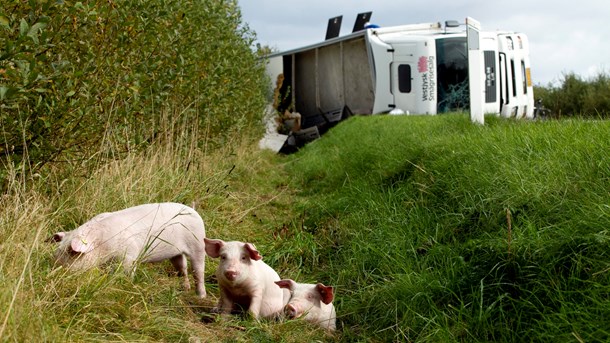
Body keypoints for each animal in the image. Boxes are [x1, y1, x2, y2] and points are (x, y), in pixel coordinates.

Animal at [50, 203, 207, 296]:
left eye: (71, 253)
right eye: (58, 250)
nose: (55, 269)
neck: (102, 242)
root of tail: (193, 210)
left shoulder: (129, 255)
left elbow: (128, 272)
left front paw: (127, 285)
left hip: (198, 244)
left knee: (198, 271)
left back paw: (200, 296)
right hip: (176, 253)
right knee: (183, 268)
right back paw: (185, 289)